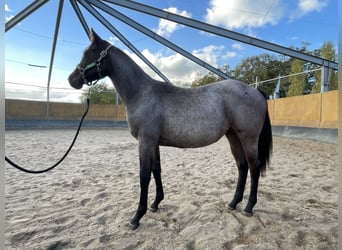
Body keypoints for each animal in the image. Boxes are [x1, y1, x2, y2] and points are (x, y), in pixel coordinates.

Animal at [69, 29, 272, 230]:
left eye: (89, 54)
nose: (72, 79)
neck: (142, 93)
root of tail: (255, 91)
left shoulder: (145, 142)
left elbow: (144, 176)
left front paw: (137, 217)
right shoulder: (154, 143)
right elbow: (156, 170)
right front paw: (155, 203)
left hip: (248, 138)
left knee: (254, 167)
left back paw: (248, 207)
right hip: (233, 136)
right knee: (242, 166)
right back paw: (233, 203)